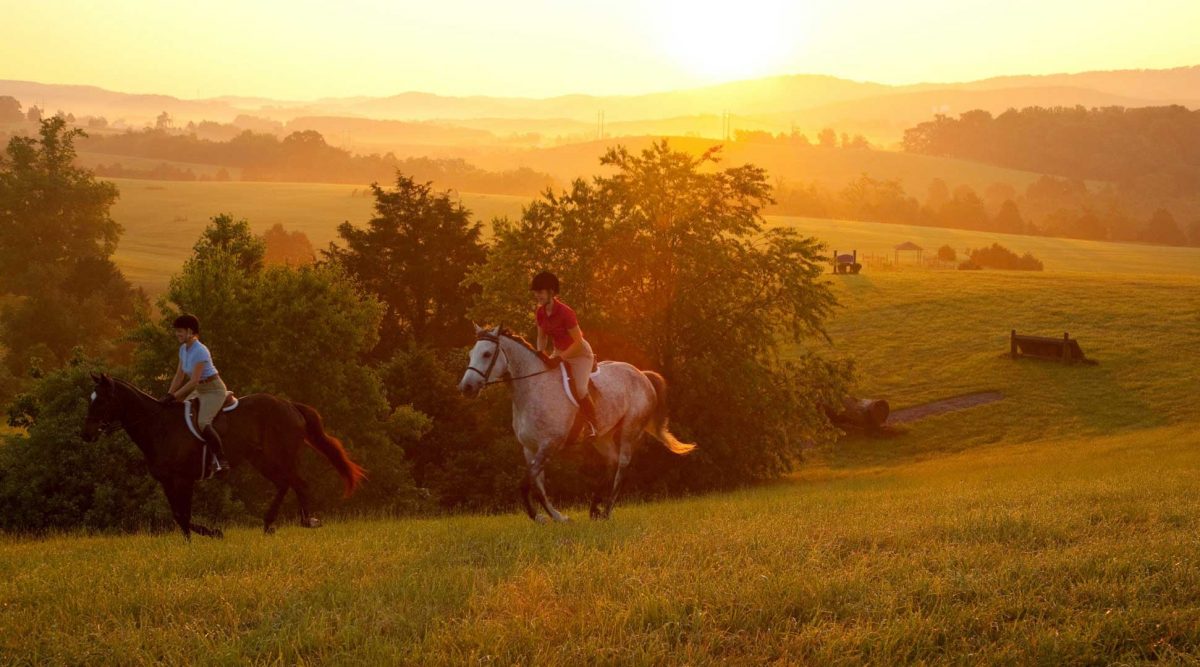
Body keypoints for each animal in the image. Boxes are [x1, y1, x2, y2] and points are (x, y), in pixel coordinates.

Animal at [80, 371, 362, 539]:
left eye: (101, 401)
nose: (86, 434)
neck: (159, 427)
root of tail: (290, 405)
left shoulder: (183, 479)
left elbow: (184, 515)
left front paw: (212, 533)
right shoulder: (168, 481)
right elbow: (178, 516)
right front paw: (196, 540)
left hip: (281, 456)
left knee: (299, 483)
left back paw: (308, 521)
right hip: (261, 460)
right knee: (284, 484)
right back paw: (269, 524)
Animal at [463, 323, 700, 520]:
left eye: (486, 354)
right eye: (471, 354)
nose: (466, 387)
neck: (532, 389)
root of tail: (641, 374)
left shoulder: (549, 444)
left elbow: (526, 482)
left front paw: (538, 517)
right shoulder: (530, 448)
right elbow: (538, 485)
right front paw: (557, 517)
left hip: (629, 430)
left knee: (622, 467)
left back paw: (606, 511)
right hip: (602, 437)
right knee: (611, 462)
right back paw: (594, 508)